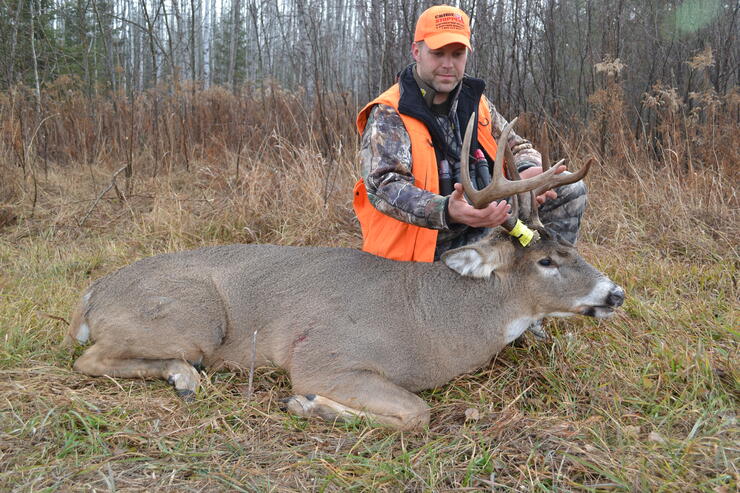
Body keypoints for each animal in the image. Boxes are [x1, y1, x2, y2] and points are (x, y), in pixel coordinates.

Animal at [66, 116, 624, 430]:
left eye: (570, 250)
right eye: (545, 262)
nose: (615, 293)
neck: (433, 322)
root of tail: (90, 297)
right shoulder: (325, 357)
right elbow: (417, 415)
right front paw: (306, 404)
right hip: (195, 321)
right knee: (90, 360)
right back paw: (184, 377)